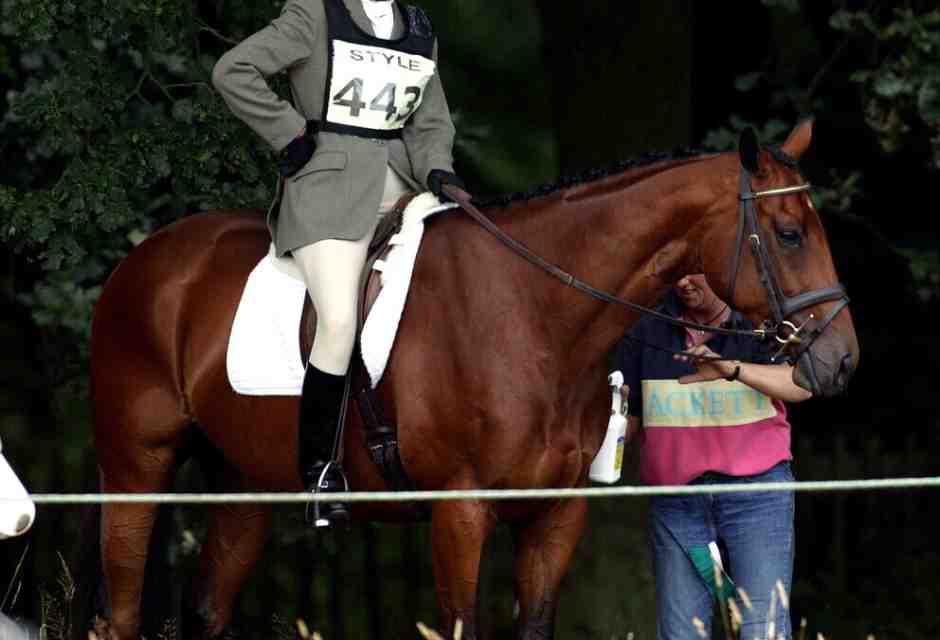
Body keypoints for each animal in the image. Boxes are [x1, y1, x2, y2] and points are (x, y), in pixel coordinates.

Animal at [86, 120, 858, 640]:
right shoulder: (460, 514)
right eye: (789, 233)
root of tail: (144, 259)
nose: (842, 360)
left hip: (243, 486)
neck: (534, 313)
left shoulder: (555, 517)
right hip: (136, 472)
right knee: (118, 614)